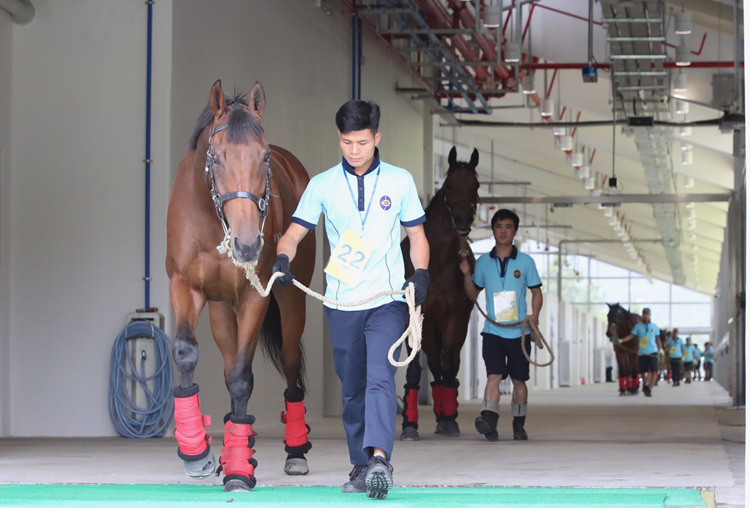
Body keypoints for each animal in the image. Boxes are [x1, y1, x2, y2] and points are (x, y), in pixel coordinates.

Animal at [166, 80, 315, 491]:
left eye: (263, 159)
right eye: (216, 157)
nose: (247, 244)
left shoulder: (254, 297)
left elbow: (243, 378)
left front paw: (238, 470)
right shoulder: (184, 284)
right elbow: (186, 353)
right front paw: (198, 454)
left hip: (291, 300)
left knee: (289, 361)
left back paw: (294, 452)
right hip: (220, 308)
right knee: (228, 361)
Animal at [400, 146, 480, 440]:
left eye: (476, 185)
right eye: (448, 186)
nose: (463, 221)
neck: (434, 262)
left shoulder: (455, 319)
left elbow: (449, 366)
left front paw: (449, 421)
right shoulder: (410, 318)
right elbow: (414, 368)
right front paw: (409, 426)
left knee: (447, 365)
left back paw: (445, 415)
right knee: (433, 364)